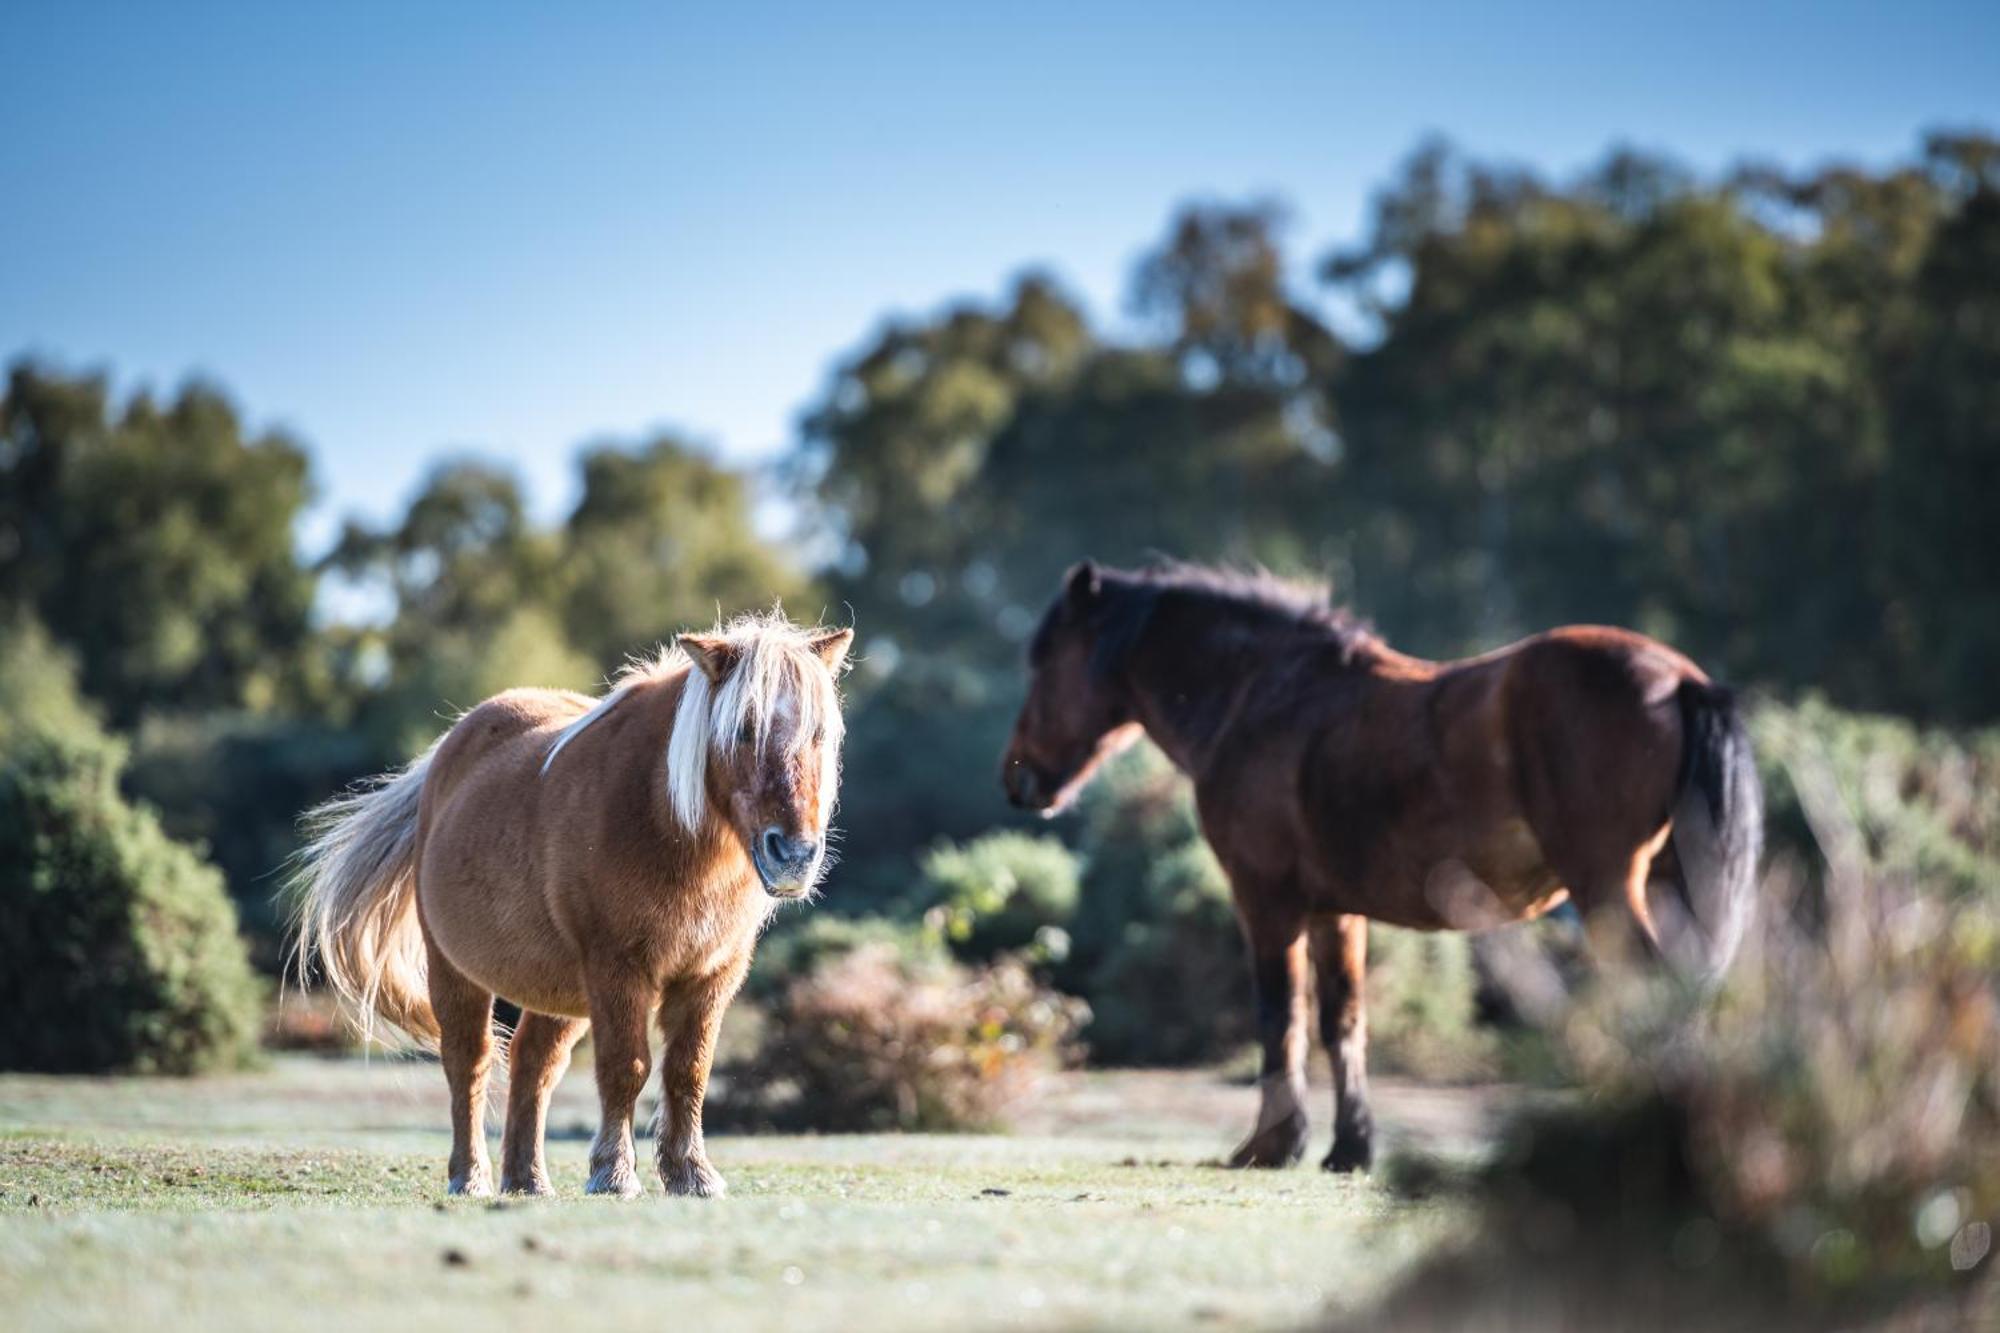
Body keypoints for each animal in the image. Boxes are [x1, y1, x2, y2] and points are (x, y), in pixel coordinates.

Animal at [292, 612, 852, 1192]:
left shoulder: (712, 974)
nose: (794, 854)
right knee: (468, 1060)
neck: (662, 821)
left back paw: (527, 1181)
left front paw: (691, 1175)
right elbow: (627, 1067)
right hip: (457, 971)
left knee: (532, 1063)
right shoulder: (617, 966)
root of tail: (452, 746)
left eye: (820, 734)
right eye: (744, 729)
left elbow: (688, 1070)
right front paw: (615, 1174)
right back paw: (470, 1177)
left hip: (560, 992)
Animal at [1008, 556, 1760, 1160]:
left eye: (1044, 660)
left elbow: (1279, 1016)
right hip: (1664, 885)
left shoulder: (1266, 900)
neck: (1261, 694)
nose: (1017, 778)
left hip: (1607, 888)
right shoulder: (1335, 914)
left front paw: (1272, 1146)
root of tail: (1681, 681)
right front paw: (1350, 1147)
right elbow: (1344, 1022)